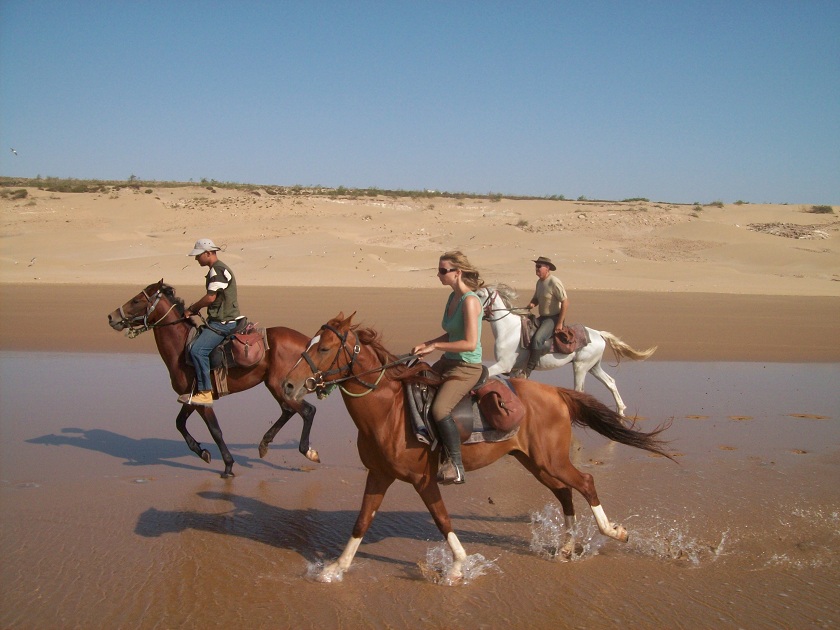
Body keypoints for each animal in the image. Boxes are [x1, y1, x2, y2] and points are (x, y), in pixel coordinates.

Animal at [108, 282, 318, 478]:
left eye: (136, 301)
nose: (112, 317)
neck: (182, 347)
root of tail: (308, 342)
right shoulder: (191, 398)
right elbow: (179, 423)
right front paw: (202, 452)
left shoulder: (203, 400)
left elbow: (215, 430)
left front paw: (228, 465)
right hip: (275, 386)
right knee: (289, 410)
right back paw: (264, 444)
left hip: (281, 386)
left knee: (307, 411)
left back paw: (307, 451)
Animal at [284, 314, 676, 584]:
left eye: (323, 348)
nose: (288, 384)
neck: (390, 411)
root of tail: (556, 393)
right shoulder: (379, 475)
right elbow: (362, 521)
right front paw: (335, 568)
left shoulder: (423, 479)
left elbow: (443, 520)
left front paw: (458, 568)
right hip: (537, 463)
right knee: (565, 493)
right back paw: (566, 547)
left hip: (551, 460)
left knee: (586, 483)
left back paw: (613, 532)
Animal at [472, 284, 656, 418]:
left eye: (480, 295)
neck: (509, 330)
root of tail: (598, 334)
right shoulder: (515, 370)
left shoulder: (503, 365)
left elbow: (486, 375)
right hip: (593, 367)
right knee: (610, 382)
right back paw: (620, 410)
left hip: (580, 367)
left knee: (580, 390)